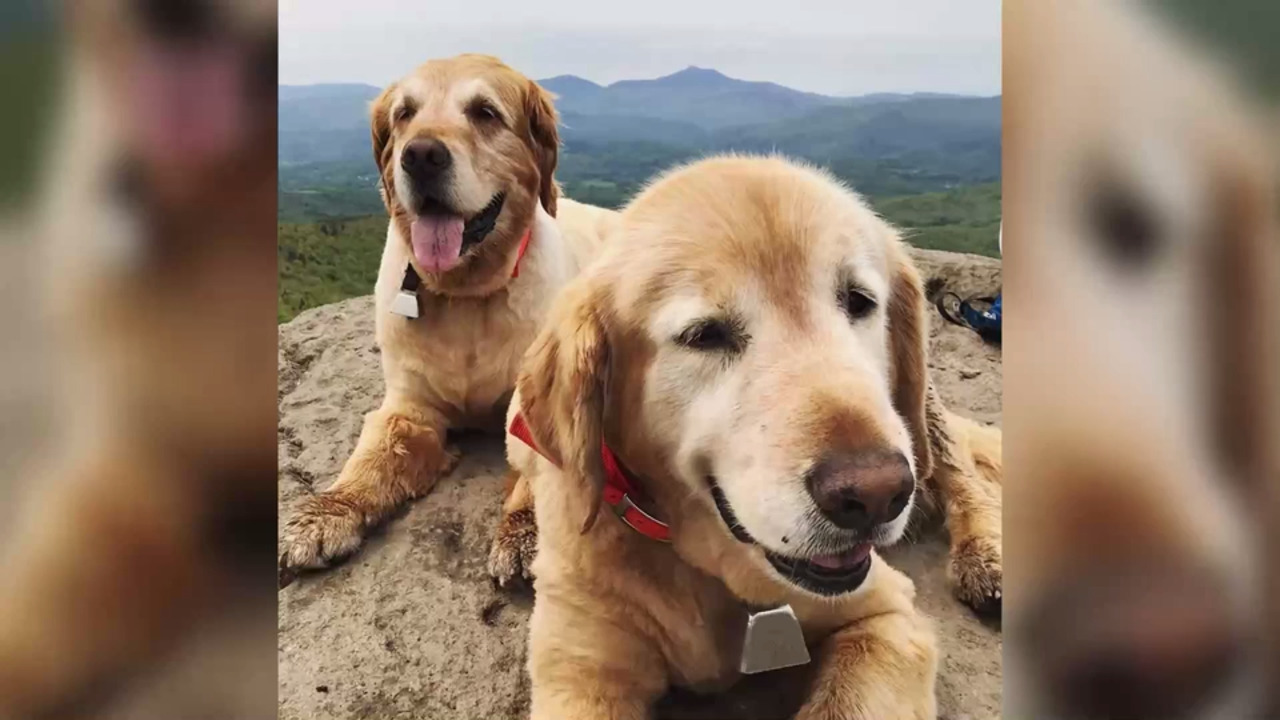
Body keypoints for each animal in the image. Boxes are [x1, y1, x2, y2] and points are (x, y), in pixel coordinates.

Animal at [281, 54, 619, 571]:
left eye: (485, 112)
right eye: (404, 113)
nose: (420, 156)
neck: (467, 296)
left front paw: (525, 531)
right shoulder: (410, 403)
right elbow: (374, 454)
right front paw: (329, 510)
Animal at [504, 154, 1003, 712]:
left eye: (858, 301)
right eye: (703, 335)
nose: (877, 495)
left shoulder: (888, 616)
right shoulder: (579, 670)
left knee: (957, 469)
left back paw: (986, 554)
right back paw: (518, 533)